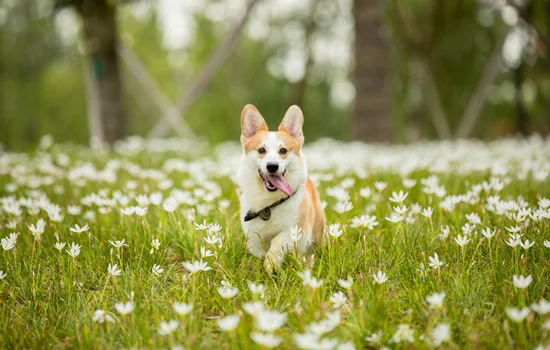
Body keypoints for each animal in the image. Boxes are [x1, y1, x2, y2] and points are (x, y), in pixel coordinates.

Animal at [238, 104, 326, 274]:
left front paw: (271, 264)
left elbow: (278, 243)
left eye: (283, 151)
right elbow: (257, 249)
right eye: (261, 150)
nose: (272, 166)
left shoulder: (293, 229)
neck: (269, 204)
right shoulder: (252, 234)